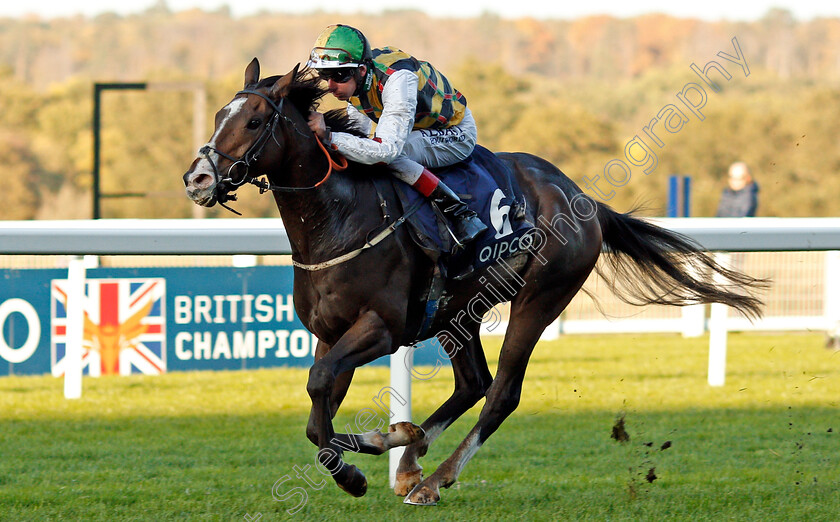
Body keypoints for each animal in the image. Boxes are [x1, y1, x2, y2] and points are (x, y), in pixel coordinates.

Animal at [184, 58, 768, 504]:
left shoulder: (382, 327)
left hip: (540, 298)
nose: (198, 178)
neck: (339, 219)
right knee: (474, 382)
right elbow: (316, 408)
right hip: (458, 312)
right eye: (217, 115)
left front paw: (358, 468)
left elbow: (319, 385)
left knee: (502, 391)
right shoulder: (331, 334)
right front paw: (382, 444)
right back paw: (411, 460)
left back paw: (433, 477)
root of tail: (581, 197)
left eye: (256, 121)